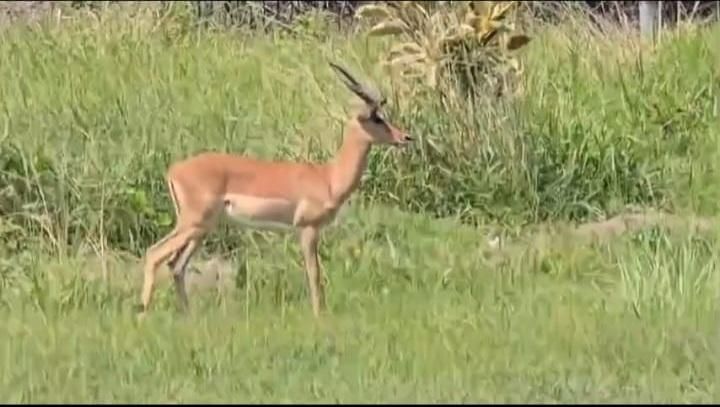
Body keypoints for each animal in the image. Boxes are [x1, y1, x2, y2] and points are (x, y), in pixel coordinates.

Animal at [137, 62, 413, 318]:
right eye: (377, 117)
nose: (406, 137)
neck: (328, 177)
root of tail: (174, 170)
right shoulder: (308, 229)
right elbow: (314, 274)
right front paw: (319, 316)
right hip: (192, 224)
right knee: (154, 253)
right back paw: (143, 313)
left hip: (201, 228)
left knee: (176, 265)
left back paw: (188, 316)